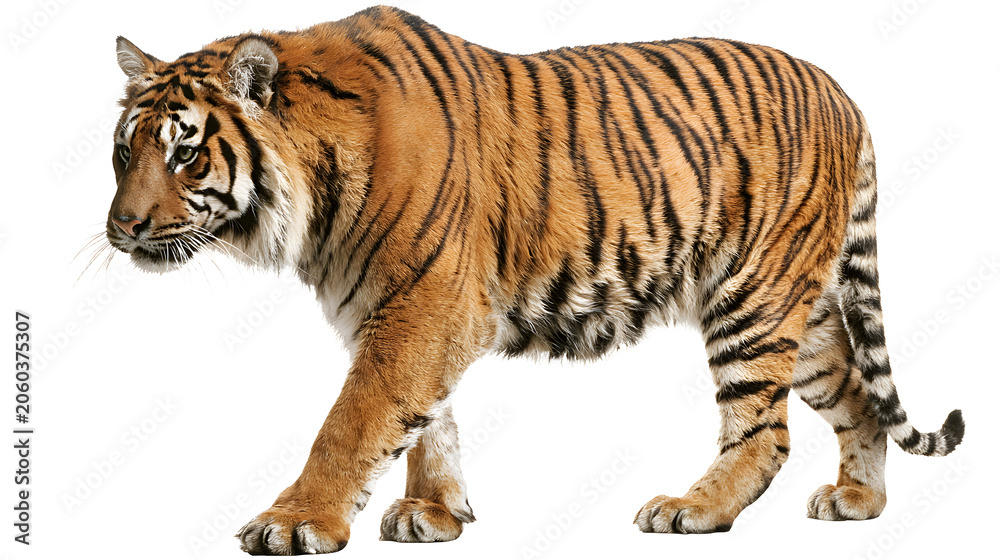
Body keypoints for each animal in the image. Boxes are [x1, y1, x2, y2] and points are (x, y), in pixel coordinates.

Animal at [105, 4, 964, 555]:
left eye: (184, 152)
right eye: (124, 150)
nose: (124, 228)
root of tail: (843, 92)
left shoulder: (424, 303)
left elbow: (354, 421)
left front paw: (295, 522)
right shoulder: (410, 309)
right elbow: (427, 420)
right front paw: (434, 513)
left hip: (752, 299)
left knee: (765, 434)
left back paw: (692, 508)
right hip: (804, 314)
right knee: (858, 394)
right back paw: (859, 501)